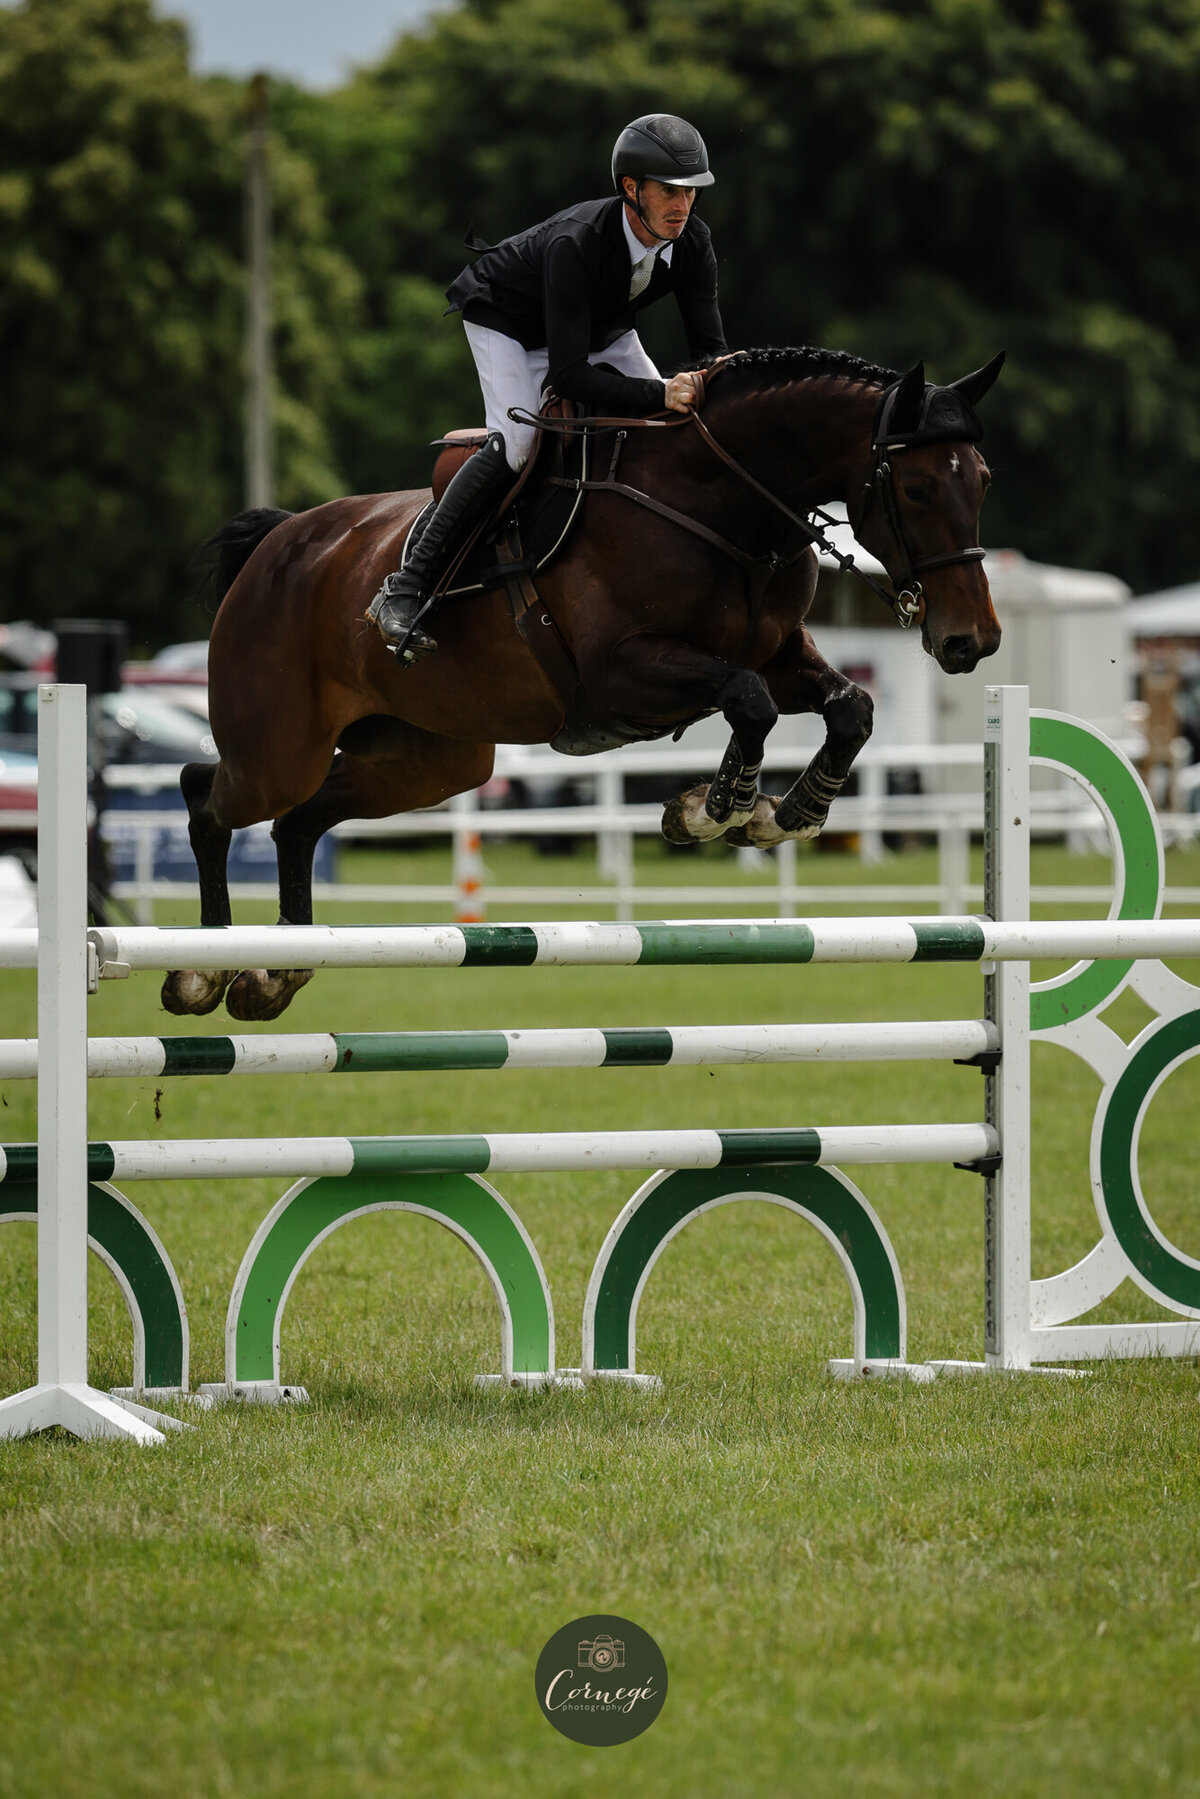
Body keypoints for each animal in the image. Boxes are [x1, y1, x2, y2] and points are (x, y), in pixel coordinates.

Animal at [166, 343, 1007, 1021]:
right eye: (918, 489)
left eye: (983, 479)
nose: (973, 640)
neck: (721, 502)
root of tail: (279, 541)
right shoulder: (621, 676)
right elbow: (749, 700)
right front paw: (713, 811)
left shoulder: (781, 655)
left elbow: (850, 708)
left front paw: (784, 814)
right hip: (280, 750)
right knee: (207, 792)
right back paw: (200, 972)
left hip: (426, 761)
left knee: (297, 822)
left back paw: (273, 973)